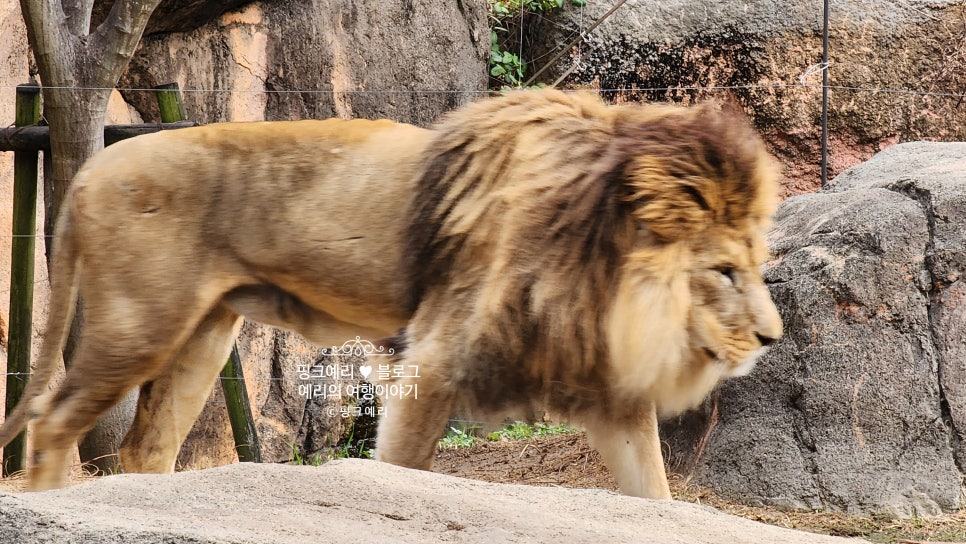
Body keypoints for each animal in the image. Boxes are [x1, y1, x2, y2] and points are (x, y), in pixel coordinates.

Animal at [0, 88, 784, 498]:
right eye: (723, 271)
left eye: (756, 264)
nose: (771, 338)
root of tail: (88, 169)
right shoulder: (430, 362)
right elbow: (403, 470)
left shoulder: (608, 390)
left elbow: (655, 492)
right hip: (140, 323)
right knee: (53, 421)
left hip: (202, 339)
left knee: (146, 450)